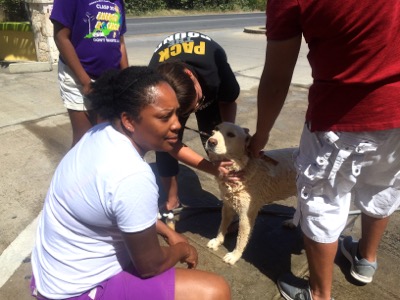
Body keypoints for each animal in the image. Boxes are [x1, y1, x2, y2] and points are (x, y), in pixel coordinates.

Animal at [206, 122, 296, 264]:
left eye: (230, 135)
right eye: (215, 130)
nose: (211, 141)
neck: (243, 167)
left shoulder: (246, 216)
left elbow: (241, 239)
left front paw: (235, 256)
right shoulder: (227, 206)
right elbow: (222, 226)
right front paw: (217, 241)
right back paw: (292, 222)